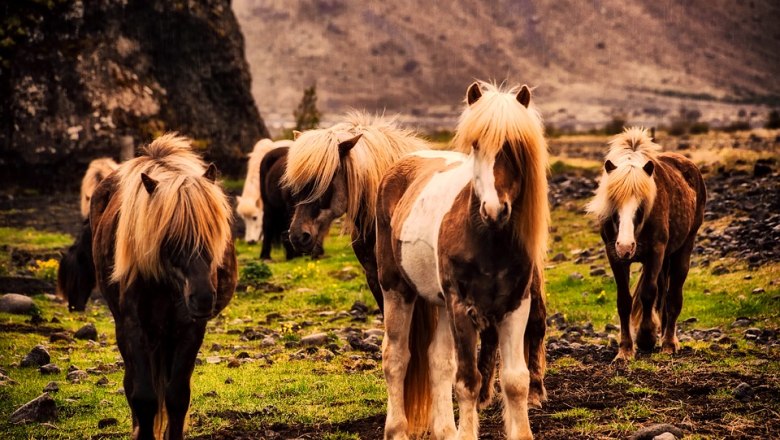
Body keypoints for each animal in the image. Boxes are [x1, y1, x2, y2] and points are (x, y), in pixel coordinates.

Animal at [88, 135, 235, 440]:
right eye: (169, 237)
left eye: (214, 232)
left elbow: (176, 396)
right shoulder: (134, 327)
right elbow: (144, 397)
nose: (203, 299)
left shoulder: (190, 329)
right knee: (131, 384)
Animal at [376, 83, 548, 440]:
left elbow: (515, 381)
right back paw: (396, 429)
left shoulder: (516, 306)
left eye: (515, 146)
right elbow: (469, 382)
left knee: (437, 361)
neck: (488, 240)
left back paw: (445, 430)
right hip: (397, 291)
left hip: (440, 302)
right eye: (476, 144)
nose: (494, 210)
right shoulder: (461, 307)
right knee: (396, 358)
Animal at [584, 127, 708, 360]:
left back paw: (669, 343)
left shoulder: (655, 253)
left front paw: (646, 337)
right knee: (663, 294)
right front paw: (625, 349)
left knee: (673, 297)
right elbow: (624, 301)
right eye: (613, 204)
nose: (625, 247)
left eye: (641, 205)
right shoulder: (614, 256)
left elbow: (648, 293)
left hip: (682, 250)